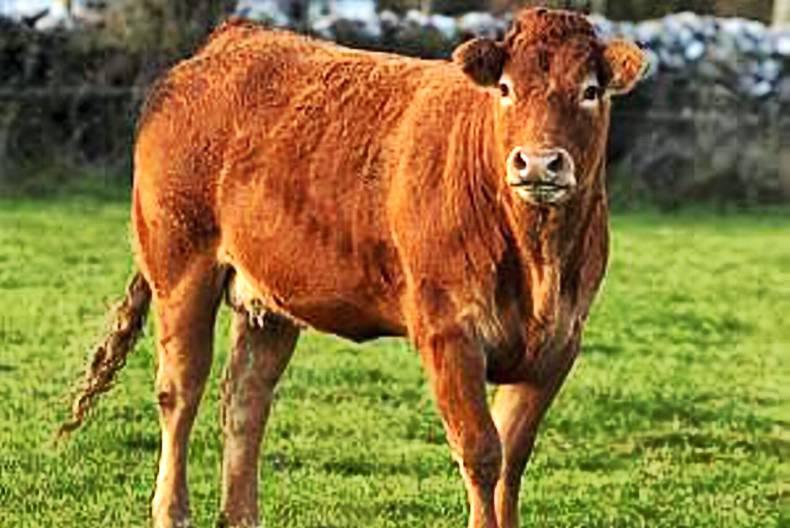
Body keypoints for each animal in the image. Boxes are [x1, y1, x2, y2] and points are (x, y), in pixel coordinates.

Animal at [60, 8, 646, 528]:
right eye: (505, 88)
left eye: (589, 91)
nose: (539, 162)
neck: (538, 260)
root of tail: (230, 40)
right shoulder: (448, 333)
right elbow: (482, 453)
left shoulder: (559, 345)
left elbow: (512, 460)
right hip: (180, 268)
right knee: (180, 393)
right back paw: (172, 512)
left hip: (268, 303)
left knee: (245, 401)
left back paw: (242, 516)